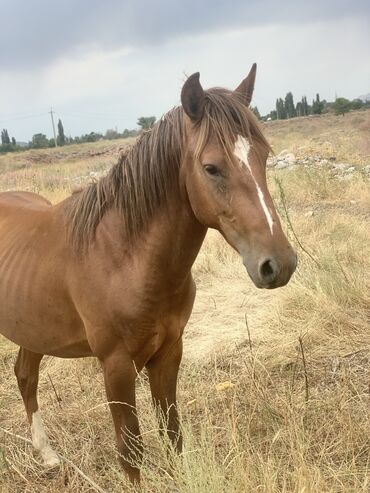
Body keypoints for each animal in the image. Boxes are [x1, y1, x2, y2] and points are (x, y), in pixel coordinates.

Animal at [0, 65, 296, 484]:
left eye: (263, 156)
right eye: (211, 167)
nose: (278, 264)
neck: (125, 257)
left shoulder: (169, 351)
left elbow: (172, 434)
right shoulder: (116, 365)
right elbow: (132, 452)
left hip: (32, 328)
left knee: (25, 375)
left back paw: (47, 455)